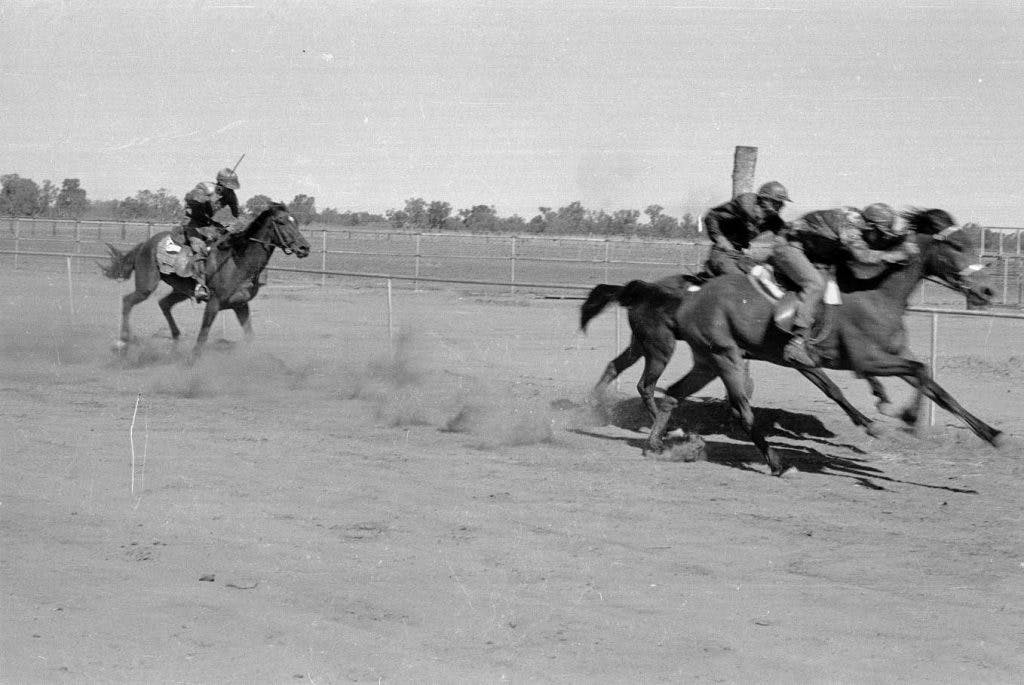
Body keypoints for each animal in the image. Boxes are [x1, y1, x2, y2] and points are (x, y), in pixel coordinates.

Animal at [100, 201, 309, 360]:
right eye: (281, 222)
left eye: (296, 221)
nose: (305, 247)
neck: (238, 261)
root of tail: (146, 243)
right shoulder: (213, 304)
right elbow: (203, 335)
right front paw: (192, 362)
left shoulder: (240, 305)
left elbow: (250, 336)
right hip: (146, 285)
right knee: (128, 301)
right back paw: (122, 342)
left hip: (180, 290)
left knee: (164, 303)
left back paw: (176, 340)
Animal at [581, 208, 1003, 475]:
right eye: (956, 246)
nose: (987, 291)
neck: (878, 295)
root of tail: (687, 298)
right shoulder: (866, 360)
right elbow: (915, 371)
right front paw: (902, 419)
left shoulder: (881, 358)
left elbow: (934, 385)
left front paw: (990, 433)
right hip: (715, 354)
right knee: (736, 407)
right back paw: (775, 463)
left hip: (701, 358)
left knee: (665, 392)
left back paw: (657, 441)